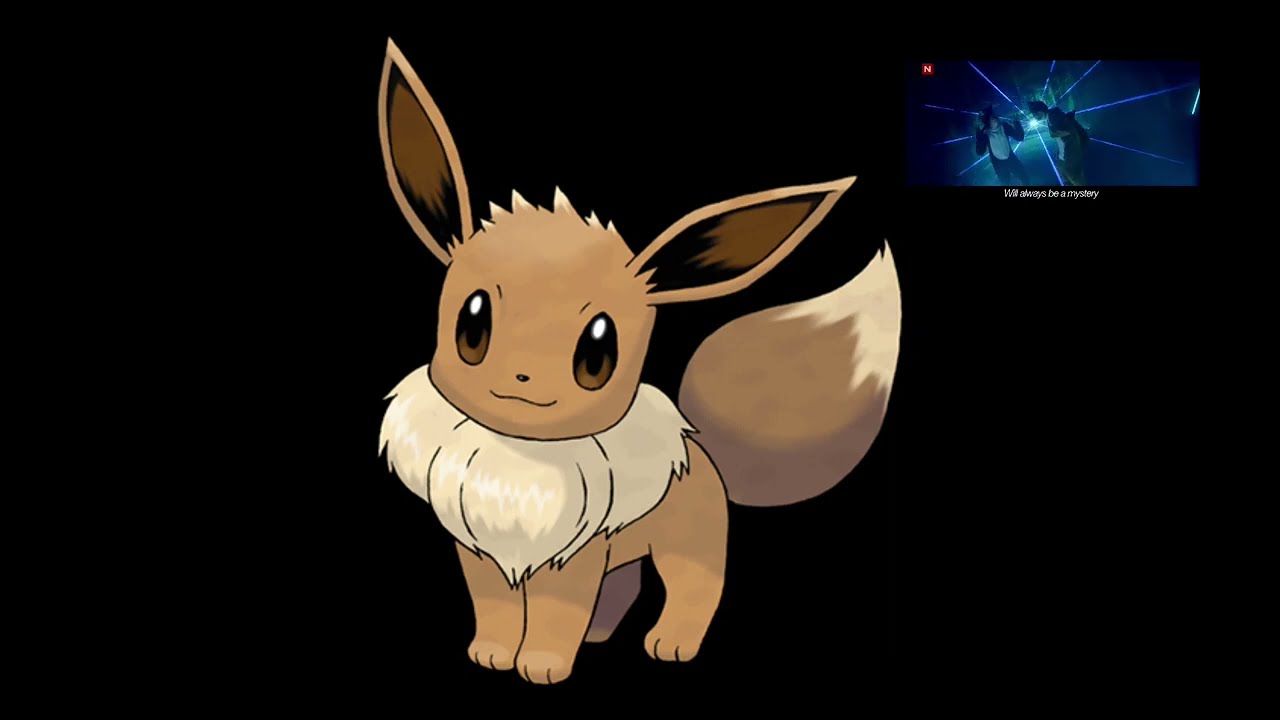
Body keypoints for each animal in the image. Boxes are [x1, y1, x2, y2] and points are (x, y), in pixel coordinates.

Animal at [375, 38, 902, 684]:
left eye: (597, 355)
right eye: (472, 327)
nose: (523, 376)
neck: (520, 456)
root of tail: (703, 450)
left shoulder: (570, 558)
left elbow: (556, 610)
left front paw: (543, 664)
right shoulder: (479, 550)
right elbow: (494, 604)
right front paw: (493, 653)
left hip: (690, 544)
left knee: (695, 590)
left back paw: (670, 644)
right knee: (623, 585)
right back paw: (600, 638)